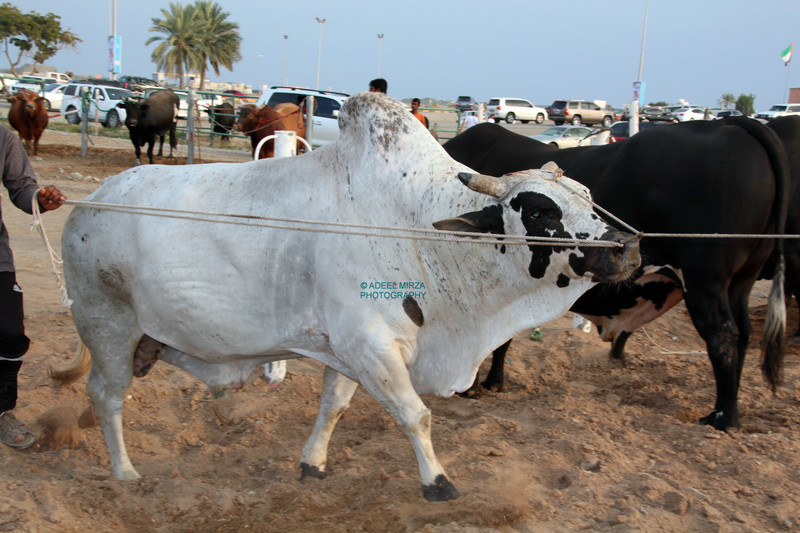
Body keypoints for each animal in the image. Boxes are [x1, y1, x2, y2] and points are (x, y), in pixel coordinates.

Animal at [56, 91, 640, 498]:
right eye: (539, 211)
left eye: (587, 195)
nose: (626, 245)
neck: (422, 229)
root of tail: (91, 200)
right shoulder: (370, 345)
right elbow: (415, 415)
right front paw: (438, 481)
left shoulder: (346, 350)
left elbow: (332, 407)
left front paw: (312, 463)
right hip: (108, 325)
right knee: (106, 396)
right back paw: (124, 471)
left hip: (147, 337)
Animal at [440, 118, 792, 430]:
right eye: (538, 212)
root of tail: (732, 123)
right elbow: (504, 337)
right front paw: (493, 383)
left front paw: (473, 386)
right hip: (740, 284)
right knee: (744, 333)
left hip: (706, 282)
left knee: (723, 335)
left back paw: (723, 418)